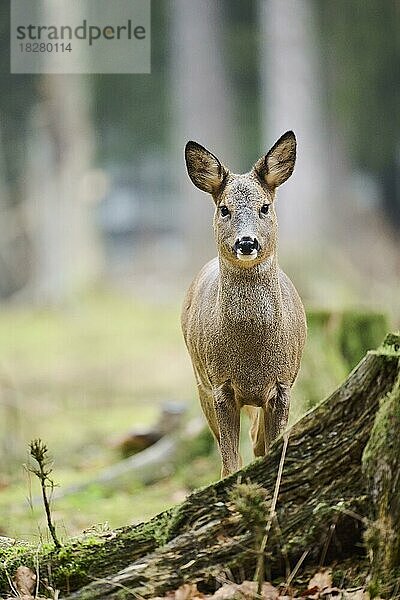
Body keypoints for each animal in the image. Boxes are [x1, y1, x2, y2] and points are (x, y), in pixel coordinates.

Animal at [181, 131, 306, 478]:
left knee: (256, 438)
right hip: (200, 380)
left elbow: (272, 447)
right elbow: (229, 462)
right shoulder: (220, 385)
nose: (247, 242)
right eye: (224, 209)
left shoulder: (282, 385)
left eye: (265, 207)